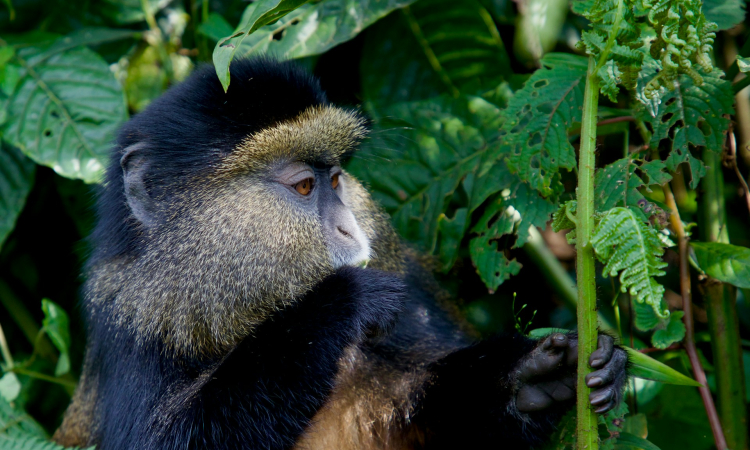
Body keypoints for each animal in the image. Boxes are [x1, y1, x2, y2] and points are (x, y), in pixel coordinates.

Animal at [52, 57, 629, 450]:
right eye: (305, 187)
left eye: (335, 178)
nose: (350, 228)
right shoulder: (133, 325)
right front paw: (341, 302)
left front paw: (531, 377)